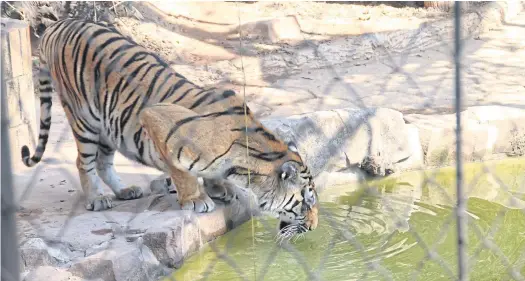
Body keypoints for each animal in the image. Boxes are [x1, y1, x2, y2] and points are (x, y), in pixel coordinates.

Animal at [20, 18, 320, 236]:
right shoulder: (157, 120)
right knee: (84, 162)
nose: (314, 226)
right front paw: (197, 199)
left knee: (104, 162)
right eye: (306, 202)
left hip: (108, 125)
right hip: (84, 117)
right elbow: (181, 171)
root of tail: (58, 24)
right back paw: (97, 198)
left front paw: (221, 188)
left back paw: (124, 191)